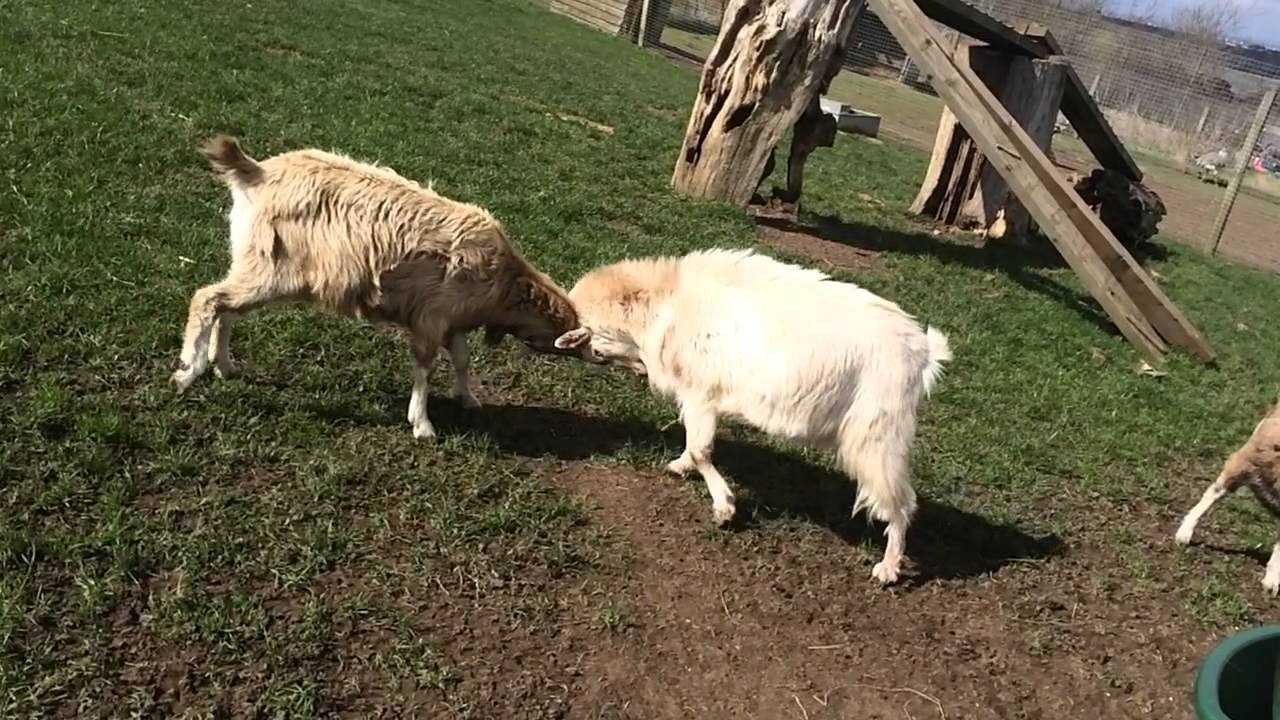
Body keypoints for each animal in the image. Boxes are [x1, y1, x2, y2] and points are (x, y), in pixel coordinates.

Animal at [172, 135, 583, 440]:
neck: (503, 282)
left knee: (226, 308)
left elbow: (462, 360)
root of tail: (257, 171)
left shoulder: (453, 319)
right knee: (207, 299)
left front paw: (468, 399)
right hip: (271, 270)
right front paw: (422, 424)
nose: (587, 354)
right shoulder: (432, 316)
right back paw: (189, 370)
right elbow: (425, 366)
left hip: (255, 265)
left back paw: (224, 365)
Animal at [553, 248, 952, 584]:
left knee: (901, 501)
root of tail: (923, 353)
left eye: (594, 339)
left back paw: (889, 567)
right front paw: (679, 466)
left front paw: (725, 508)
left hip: (876, 435)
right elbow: (692, 446)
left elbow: (701, 450)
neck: (670, 301)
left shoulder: (701, 394)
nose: (575, 347)